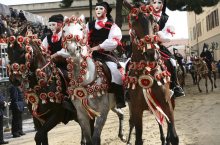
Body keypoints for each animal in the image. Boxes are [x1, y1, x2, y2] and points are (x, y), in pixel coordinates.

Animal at [62, 15, 126, 145]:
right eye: (64, 30)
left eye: (81, 29)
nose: (73, 49)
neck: (85, 81)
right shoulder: (82, 115)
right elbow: (89, 139)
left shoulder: (102, 113)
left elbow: (96, 139)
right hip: (113, 105)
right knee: (121, 114)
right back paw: (122, 135)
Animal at [124, 0, 179, 144]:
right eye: (134, 21)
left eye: (153, 20)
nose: (150, 54)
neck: (146, 69)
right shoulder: (136, 110)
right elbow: (138, 138)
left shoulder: (167, 105)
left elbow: (174, 136)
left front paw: (170, 138)